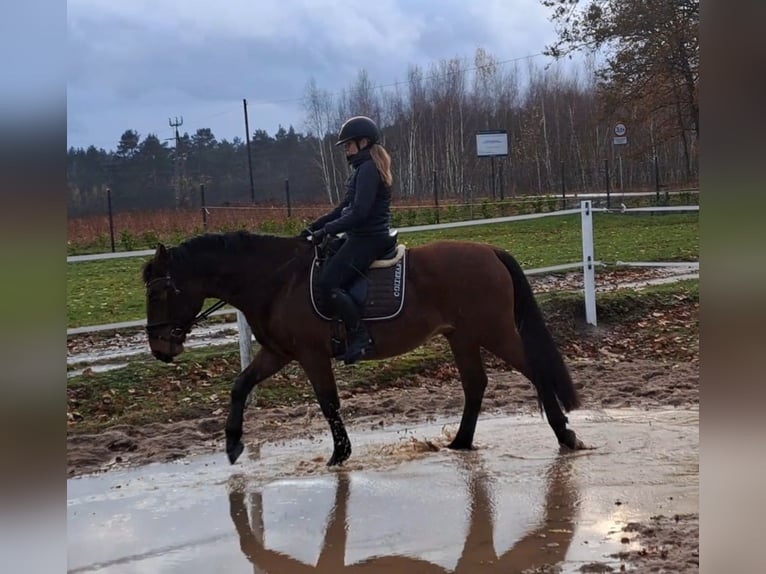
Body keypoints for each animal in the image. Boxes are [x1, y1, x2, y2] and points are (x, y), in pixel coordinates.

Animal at [142, 231, 588, 468]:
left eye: (160, 292)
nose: (160, 347)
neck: (277, 281)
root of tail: (489, 251)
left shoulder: (311, 355)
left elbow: (328, 402)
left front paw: (340, 454)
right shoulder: (279, 353)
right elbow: (240, 385)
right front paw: (233, 444)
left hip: (494, 333)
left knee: (535, 370)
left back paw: (565, 434)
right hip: (461, 336)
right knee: (476, 384)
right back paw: (461, 442)